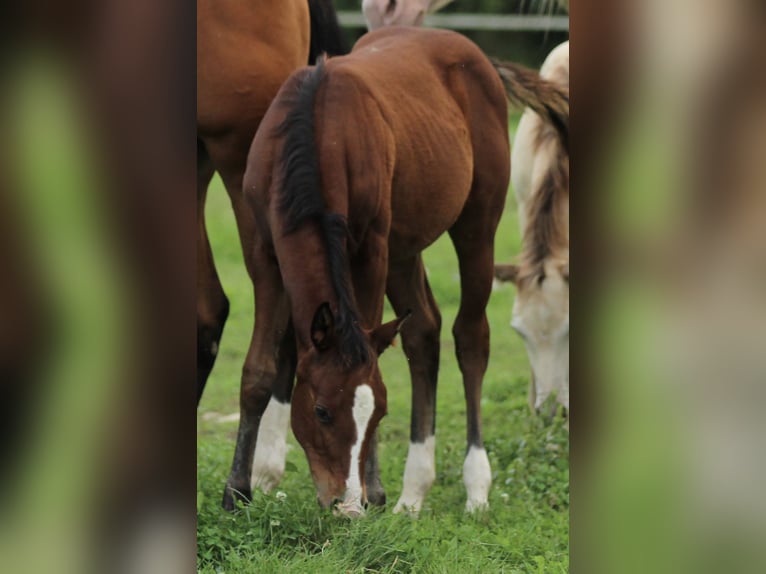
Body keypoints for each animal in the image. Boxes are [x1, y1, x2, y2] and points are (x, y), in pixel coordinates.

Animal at [224, 26, 569, 516]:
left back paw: (475, 484)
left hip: (477, 223)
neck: (315, 134)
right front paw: (237, 490)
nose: (347, 505)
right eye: (321, 411)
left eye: (380, 413)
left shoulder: (371, 248)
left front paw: (375, 489)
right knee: (423, 331)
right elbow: (258, 369)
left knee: (470, 338)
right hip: (406, 246)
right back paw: (414, 492)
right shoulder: (263, 251)